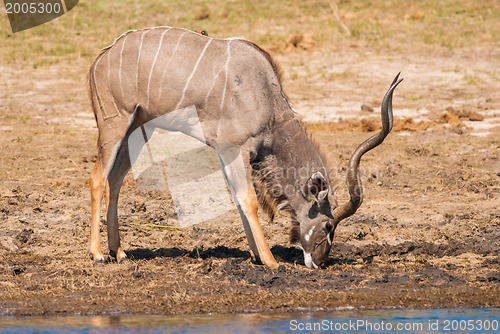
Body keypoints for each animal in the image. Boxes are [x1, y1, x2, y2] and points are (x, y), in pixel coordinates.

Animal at [88, 27, 402, 270]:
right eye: (328, 226)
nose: (320, 261)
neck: (264, 95)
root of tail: (102, 57)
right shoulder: (235, 150)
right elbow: (248, 200)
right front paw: (271, 261)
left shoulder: (227, 154)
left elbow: (239, 200)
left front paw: (256, 255)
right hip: (114, 125)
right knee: (97, 178)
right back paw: (98, 254)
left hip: (139, 129)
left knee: (116, 179)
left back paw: (119, 251)